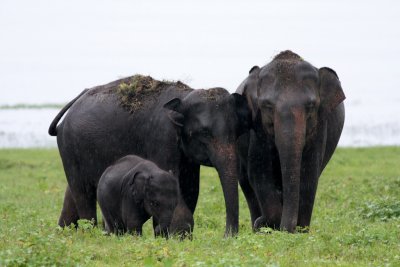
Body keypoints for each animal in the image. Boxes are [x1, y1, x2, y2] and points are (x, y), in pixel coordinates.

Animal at [49, 74, 250, 238]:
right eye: (204, 133)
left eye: (237, 132)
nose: (227, 236)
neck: (184, 97)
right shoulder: (161, 137)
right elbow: (174, 183)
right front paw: (175, 237)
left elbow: (191, 188)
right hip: (70, 149)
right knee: (83, 193)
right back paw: (89, 232)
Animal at [236, 50, 346, 234]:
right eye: (267, 105)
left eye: (311, 105)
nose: (260, 222)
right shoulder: (257, 128)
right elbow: (259, 171)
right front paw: (268, 225)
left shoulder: (319, 127)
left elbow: (309, 173)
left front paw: (299, 231)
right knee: (246, 184)